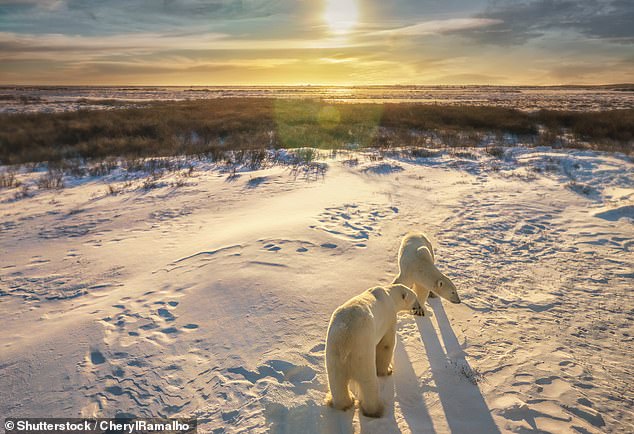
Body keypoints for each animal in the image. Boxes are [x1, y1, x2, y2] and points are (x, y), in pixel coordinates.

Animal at [324, 284, 418, 418]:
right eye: (415, 297)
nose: (417, 308)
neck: (389, 294)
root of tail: (345, 342)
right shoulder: (389, 318)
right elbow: (386, 345)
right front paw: (387, 370)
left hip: (333, 354)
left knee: (337, 382)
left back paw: (344, 402)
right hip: (362, 353)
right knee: (368, 383)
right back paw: (375, 410)